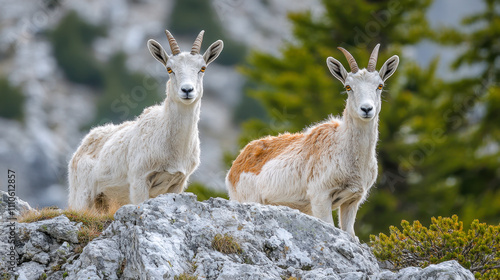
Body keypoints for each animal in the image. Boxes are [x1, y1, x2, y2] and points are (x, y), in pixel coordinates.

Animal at [67, 30, 224, 210]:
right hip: (82, 195)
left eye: (202, 68)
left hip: (103, 201)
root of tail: (81, 147)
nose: (187, 90)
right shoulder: (139, 180)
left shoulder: (178, 182)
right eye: (169, 69)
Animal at [227, 44, 398, 237]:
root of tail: (236, 164)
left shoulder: (352, 201)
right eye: (348, 87)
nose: (366, 109)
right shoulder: (320, 197)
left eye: (380, 85)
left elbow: (350, 234)